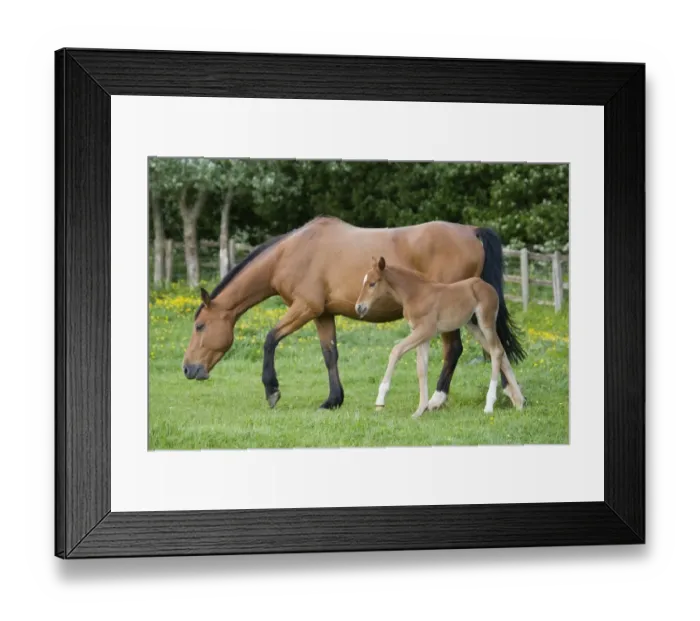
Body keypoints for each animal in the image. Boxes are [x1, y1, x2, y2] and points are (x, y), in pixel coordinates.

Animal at [355, 256, 526, 419]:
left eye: (372, 284)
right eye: (364, 282)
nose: (359, 307)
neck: (415, 293)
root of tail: (488, 286)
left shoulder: (425, 330)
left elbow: (396, 351)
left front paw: (380, 400)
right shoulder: (421, 335)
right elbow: (421, 368)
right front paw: (420, 410)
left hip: (486, 322)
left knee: (496, 351)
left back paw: (490, 406)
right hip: (473, 326)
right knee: (500, 351)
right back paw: (519, 401)